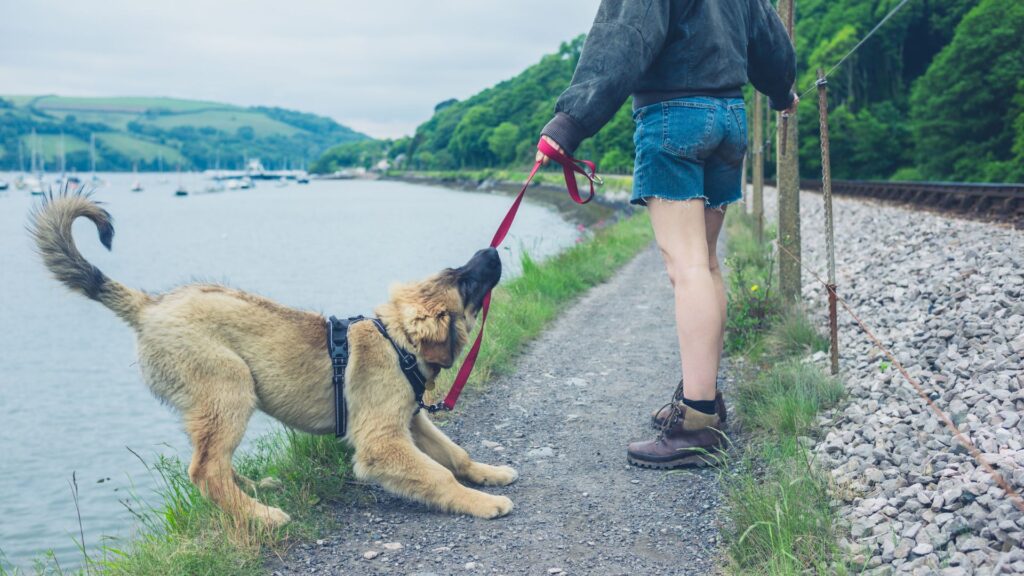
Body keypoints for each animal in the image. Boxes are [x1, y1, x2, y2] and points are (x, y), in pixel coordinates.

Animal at [28, 191, 516, 524]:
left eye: (456, 271)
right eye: (465, 282)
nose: (491, 250)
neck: (397, 343)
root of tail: (149, 306)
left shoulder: (412, 421)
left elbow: (455, 455)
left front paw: (488, 474)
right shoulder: (382, 441)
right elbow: (439, 475)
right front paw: (483, 502)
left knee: (213, 463)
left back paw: (256, 491)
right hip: (230, 386)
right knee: (205, 470)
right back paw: (260, 516)